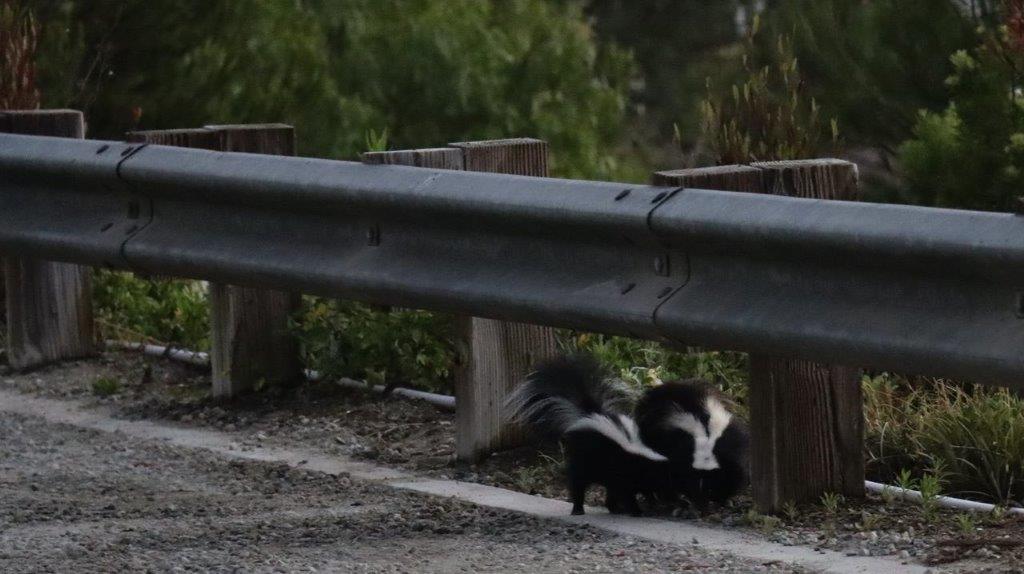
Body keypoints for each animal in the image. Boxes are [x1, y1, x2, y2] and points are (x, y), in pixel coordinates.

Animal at [503, 354, 679, 515]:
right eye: (666, 479)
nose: (673, 499)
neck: (642, 455)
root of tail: (587, 414)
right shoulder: (624, 471)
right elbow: (627, 493)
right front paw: (636, 510)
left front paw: (648, 501)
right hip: (582, 459)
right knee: (578, 483)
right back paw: (578, 509)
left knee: (608, 489)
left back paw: (613, 508)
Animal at [634, 378, 749, 507]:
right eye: (697, 481)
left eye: (710, 482)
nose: (702, 504)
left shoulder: (731, 445)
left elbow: (734, 474)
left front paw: (723, 498)